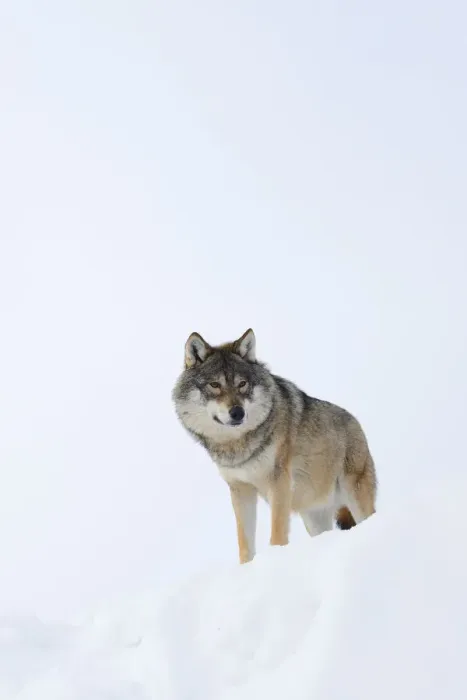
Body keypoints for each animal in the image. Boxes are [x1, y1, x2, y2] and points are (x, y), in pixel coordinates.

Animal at [172, 329, 377, 564]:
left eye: (242, 384)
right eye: (215, 385)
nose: (237, 412)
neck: (238, 445)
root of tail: (357, 424)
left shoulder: (279, 483)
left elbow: (277, 533)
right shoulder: (240, 489)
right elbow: (245, 542)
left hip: (355, 499)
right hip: (314, 519)